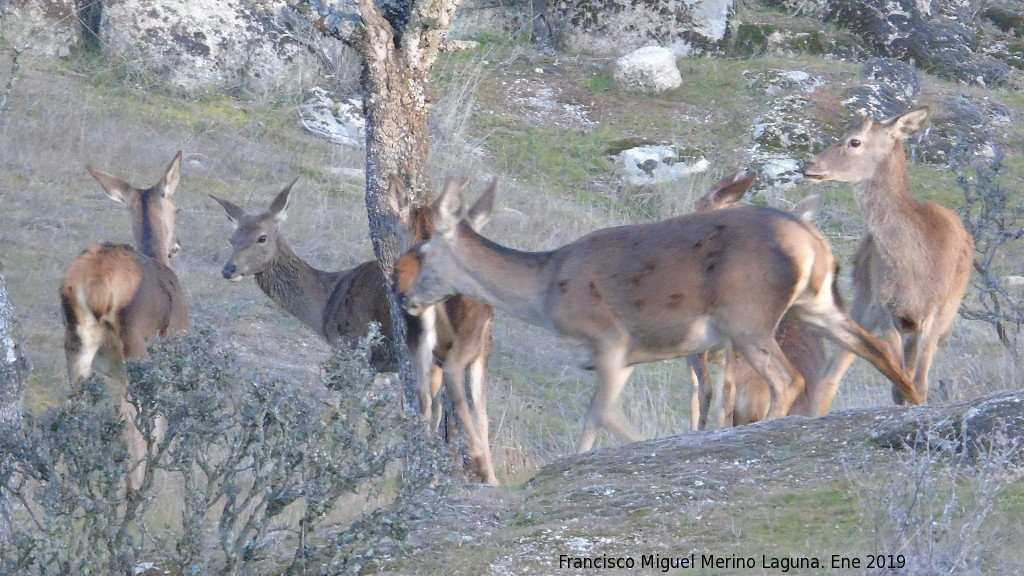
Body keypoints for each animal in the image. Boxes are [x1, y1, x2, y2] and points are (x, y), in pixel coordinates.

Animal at [59, 150, 189, 491]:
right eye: (178, 208)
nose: (177, 246)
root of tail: (97, 284)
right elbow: (156, 421)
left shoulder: (112, 371)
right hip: (135, 348)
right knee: (134, 424)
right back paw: (134, 488)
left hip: (77, 344)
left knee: (76, 409)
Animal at [209, 176, 497, 483]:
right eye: (232, 238)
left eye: (261, 237)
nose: (229, 269)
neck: (325, 306)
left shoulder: (354, 347)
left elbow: (353, 410)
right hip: (478, 347)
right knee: (477, 409)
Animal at [802, 106, 970, 412]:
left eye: (854, 141)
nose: (809, 165)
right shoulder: (884, 308)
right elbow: (899, 383)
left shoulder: (937, 312)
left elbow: (918, 384)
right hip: (862, 299)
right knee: (831, 370)